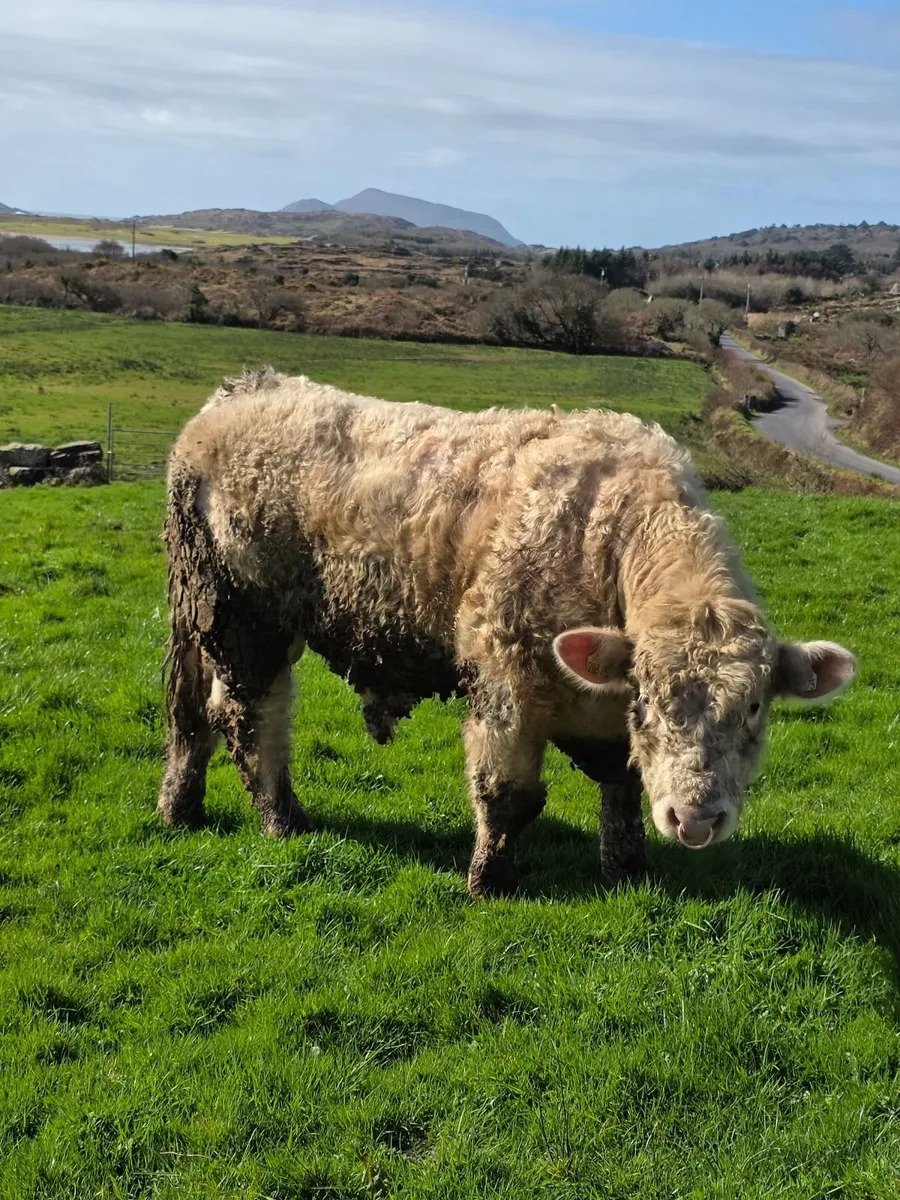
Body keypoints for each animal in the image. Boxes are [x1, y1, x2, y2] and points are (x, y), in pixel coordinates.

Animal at [158, 369, 856, 897]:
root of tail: (247, 388)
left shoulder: (604, 707)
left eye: (755, 707)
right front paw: (489, 881)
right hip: (244, 619)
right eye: (652, 701)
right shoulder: (504, 682)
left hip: (208, 621)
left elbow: (622, 786)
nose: (695, 817)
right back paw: (283, 818)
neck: (606, 539)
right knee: (251, 719)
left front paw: (627, 868)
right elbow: (507, 794)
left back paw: (180, 808)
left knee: (194, 715)